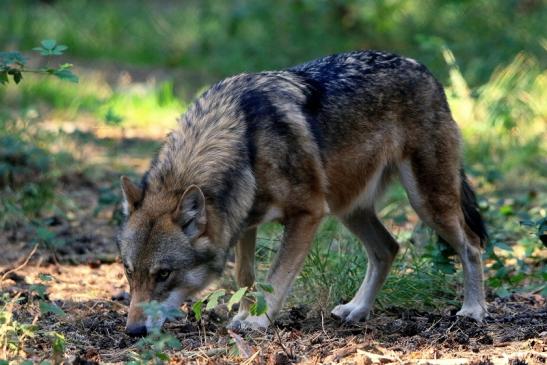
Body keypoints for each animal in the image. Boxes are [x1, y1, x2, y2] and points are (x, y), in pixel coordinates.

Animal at [117, 49, 490, 334]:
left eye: (164, 274)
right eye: (129, 272)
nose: (133, 331)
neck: (242, 142)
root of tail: (424, 69)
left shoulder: (307, 214)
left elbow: (276, 277)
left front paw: (257, 321)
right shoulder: (243, 222)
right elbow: (245, 277)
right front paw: (243, 314)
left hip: (426, 203)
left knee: (471, 245)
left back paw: (473, 309)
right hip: (348, 208)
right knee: (388, 248)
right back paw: (357, 309)